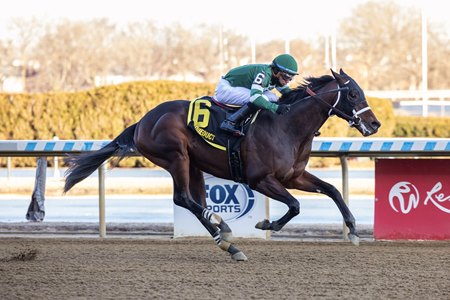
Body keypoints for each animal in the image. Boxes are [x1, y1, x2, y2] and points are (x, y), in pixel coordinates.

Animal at [63, 69, 380, 260]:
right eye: (353, 94)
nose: (375, 124)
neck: (286, 124)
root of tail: (142, 121)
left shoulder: (294, 176)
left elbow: (332, 190)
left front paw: (353, 230)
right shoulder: (260, 179)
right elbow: (295, 205)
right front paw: (267, 223)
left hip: (193, 164)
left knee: (195, 200)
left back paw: (226, 237)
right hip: (175, 157)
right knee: (183, 198)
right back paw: (223, 230)